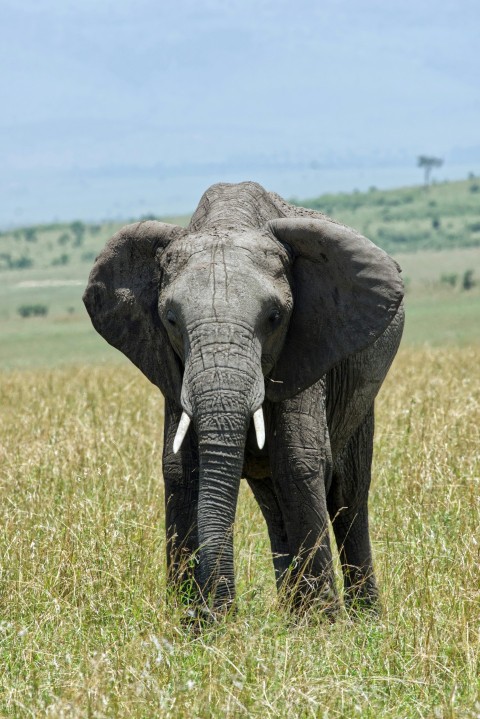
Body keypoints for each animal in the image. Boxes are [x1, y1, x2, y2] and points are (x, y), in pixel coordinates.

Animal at [83, 180, 404, 620]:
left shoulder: (308, 346)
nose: (218, 612)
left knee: (348, 492)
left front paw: (324, 627)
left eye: (274, 318)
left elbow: (299, 462)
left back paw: (362, 619)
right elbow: (180, 469)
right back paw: (291, 617)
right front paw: (193, 627)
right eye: (170, 319)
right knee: (273, 502)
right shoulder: (173, 368)